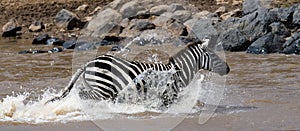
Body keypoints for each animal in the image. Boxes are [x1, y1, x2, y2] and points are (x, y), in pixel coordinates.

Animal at [45, 39, 230, 105]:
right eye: (214, 56)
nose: (228, 69)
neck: (178, 72)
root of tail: (88, 63)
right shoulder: (168, 95)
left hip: (99, 88)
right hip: (103, 89)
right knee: (82, 95)